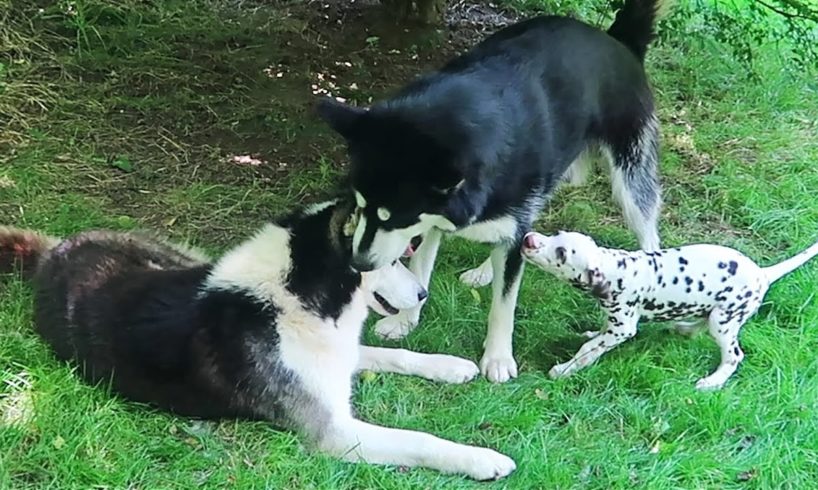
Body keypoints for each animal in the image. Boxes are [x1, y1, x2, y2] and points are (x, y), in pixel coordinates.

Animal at [0, 201, 512, 480]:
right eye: (390, 260)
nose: (423, 294)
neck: (291, 298)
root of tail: (53, 251)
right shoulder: (335, 433)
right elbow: (421, 439)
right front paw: (483, 459)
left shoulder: (338, 354)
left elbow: (396, 354)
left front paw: (449, 365)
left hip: (178, 256)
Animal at [318, 0, 668, 382]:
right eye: (359, 206)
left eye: (395, 217)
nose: (359, 263)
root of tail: (617, 40)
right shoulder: (436, 221)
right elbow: (422, 268)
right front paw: (406, 320)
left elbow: (505, 302)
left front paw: (498, 357)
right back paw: (487, 268)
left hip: (631, 178)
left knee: (648, 232)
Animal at [520, 231, 816, 390]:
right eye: (556, 234)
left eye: (561, 253)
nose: (529, 239)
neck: (616, 269)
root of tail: (763, 275)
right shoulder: (614, 321)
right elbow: (598, 335)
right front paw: (591, 335)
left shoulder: (623, 329)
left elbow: (588, 351)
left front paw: (565, 369)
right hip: (715, 314)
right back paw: (684, 329)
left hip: (725, 320)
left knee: (734, 356)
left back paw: (713, 382)